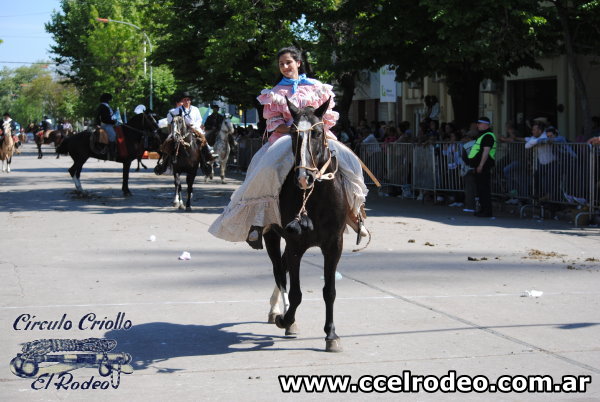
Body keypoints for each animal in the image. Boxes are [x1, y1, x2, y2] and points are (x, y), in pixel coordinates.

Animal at [264, 97, 346, 352]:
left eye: (318, 132)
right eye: (292, 133)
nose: (303, 178)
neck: (315, 198)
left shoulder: (334, 245)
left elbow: (330, 291)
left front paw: (331, 334)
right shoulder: (295, 244)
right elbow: (296, 293)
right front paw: (286, 319)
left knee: (281, 269)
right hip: (271, 236)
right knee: (279, 271)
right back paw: (279, 312)